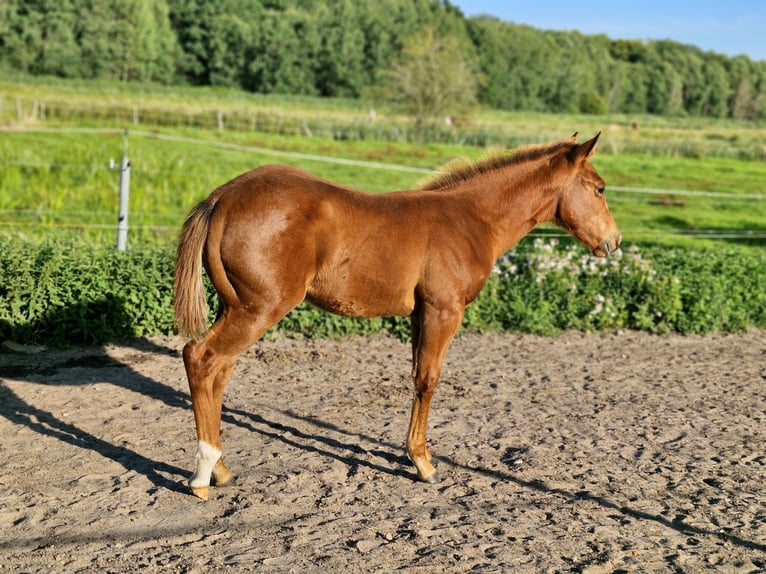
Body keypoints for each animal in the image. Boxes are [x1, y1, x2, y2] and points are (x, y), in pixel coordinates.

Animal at [173, 133, 621, 500]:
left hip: (236, 307)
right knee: (200, 357)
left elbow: (417, 377)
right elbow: (429, 380)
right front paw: (423, 463)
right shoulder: (443, 312)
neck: (470, 219)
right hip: (259, 308)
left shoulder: (418, 316)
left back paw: (221, 468)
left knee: (219, 370)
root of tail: (223, 198)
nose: (613, 242)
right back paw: (202, 475)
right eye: (599, 188)